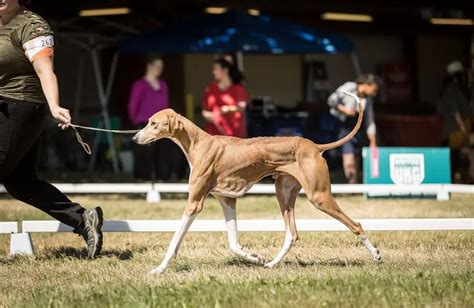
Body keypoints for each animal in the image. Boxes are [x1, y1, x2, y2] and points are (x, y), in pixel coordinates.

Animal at [132, 90, 382, 274]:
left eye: (154, 123)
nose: (134, 138)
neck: (198, 143)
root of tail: (315, 146)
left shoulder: (194, 203)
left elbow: (175, 239)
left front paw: (159, 269)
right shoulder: (227, 200)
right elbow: (233, 243)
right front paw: (255, 257)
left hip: (319, 196)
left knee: (356, 225)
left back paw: (376, 255)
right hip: (284, 194)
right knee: (291, 234)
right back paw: (271, 263)